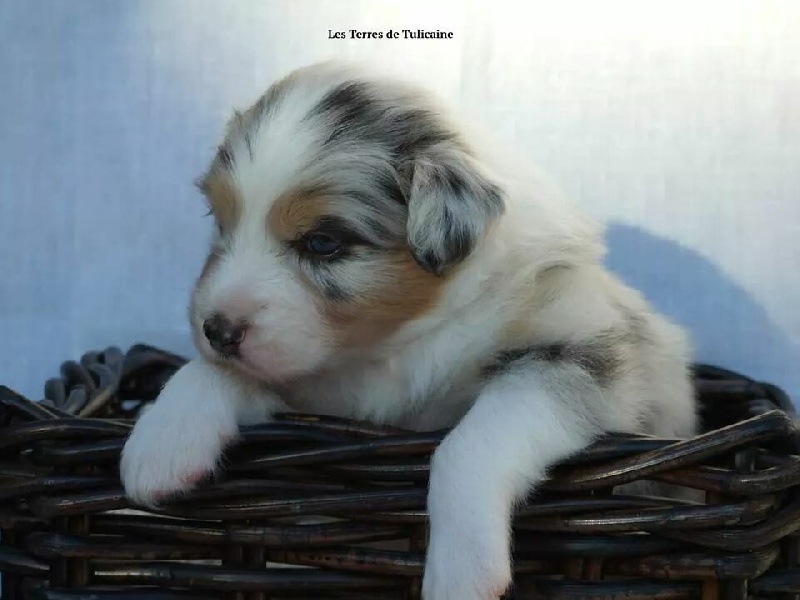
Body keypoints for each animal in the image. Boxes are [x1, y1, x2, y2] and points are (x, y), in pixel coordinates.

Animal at [122, 62, 696, 600]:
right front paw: (160, 446)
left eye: (323, 242)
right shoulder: (317, 395)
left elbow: (470, 443)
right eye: (221, 223)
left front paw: (462, 572)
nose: (216, 329)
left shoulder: (583, 356)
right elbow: (207, 374)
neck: (396, 346)